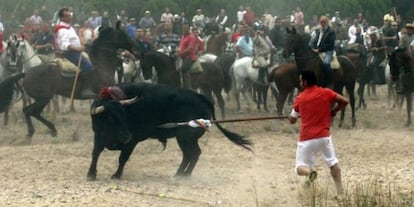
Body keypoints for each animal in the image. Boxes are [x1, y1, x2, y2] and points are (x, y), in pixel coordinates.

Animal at [0, 22, 138, 139]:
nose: (135, 47)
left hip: (42, 98)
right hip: (43, 98)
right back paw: (43, 130)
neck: (101, 65)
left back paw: (43, 130)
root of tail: (27, 73)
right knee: (30, 111)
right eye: (124, 34)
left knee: (30, 111)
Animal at [87, 82, 252, 180]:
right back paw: (180, 174)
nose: (127, 135)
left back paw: (184, 175)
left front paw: (116, 175)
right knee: (189, 154)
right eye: (110, 118)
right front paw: (91, 174)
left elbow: (122, 158)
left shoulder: (132, 142)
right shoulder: (98, 135)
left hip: (186, 137)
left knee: (193, 153)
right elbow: (95, 153)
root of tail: (202, 98)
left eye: (124, 114)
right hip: (184, 138)